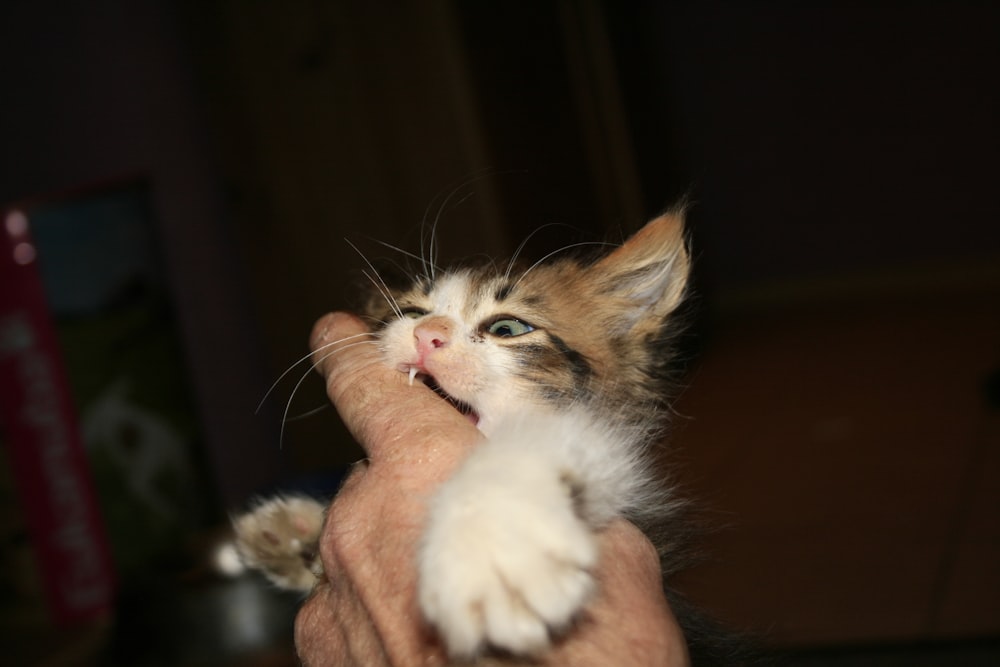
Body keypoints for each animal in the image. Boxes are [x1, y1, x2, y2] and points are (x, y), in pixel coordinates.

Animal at [234, 211, 704, 660]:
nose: (426, 333)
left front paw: (491, 548)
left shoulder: (611, 455)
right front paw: (297, 534)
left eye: (508, 329)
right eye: (411, 313)